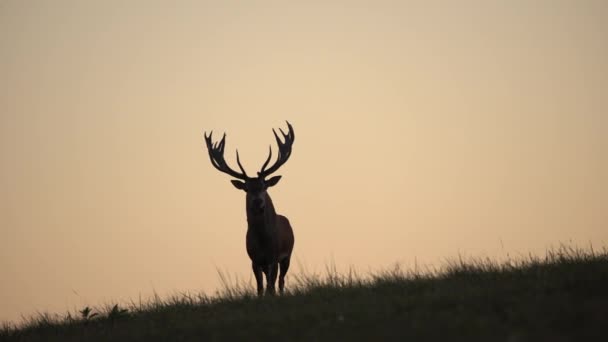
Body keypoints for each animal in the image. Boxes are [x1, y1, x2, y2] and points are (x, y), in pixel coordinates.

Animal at [204, 121, 296, 296]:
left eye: (264, 186)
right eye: (247, 189)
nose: (258, 202)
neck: (263, 241)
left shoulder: (274, 257)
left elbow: (271, 285)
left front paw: (272, 296)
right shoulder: (254, 259)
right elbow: (260, 287)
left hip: (287, 256)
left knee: (281, 281)